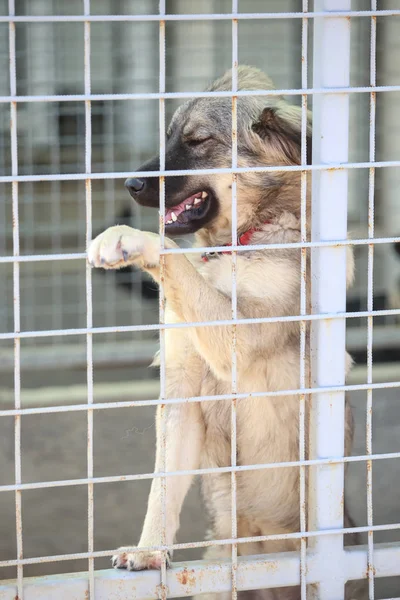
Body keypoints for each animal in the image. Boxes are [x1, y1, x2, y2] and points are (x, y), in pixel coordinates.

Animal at [89, 67, 364, 600]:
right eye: (169, 136)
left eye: (198, 141)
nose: (130, 184)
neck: (245, 240)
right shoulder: (182, 393)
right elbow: (162, 486)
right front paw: (149, 551)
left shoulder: (239, 343)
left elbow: (171, 254)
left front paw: (129, 238)